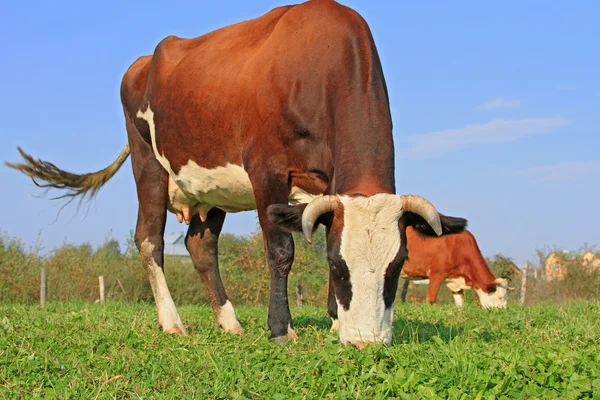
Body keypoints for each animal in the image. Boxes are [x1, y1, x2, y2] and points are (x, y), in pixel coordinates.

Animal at [3, 0, 468, 346]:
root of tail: (144, 61)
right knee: (149, 240)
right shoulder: (266, 169)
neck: (320, 63)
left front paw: (335, 319)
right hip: (148, 163)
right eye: (339, 267)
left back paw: (229, 322)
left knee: (200, 246)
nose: (367, 341)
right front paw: (281, 329)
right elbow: (281, 251)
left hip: (210, 188)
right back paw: (172, 322)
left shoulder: (329, 183)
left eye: (398, 266)